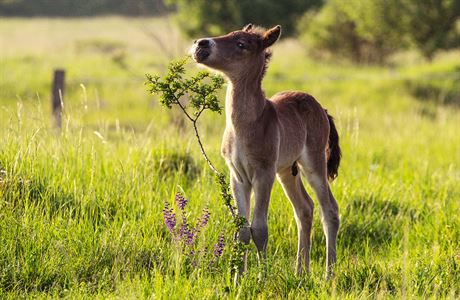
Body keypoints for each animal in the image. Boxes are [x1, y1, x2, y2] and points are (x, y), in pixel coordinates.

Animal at [190, 24, 342, 276]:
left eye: (241, 44)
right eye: (229, 34)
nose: (201, 44)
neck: (247, 125)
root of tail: (321, 107)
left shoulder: (264, 173)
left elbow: (259, 229)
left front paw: (262, 278)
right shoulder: (238, 176)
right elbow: (242, 231)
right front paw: (238, 278)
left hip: (313, 163)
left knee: (329, 209)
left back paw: (328, 274)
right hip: (287, 171)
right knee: (305, 208)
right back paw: (301, 272)